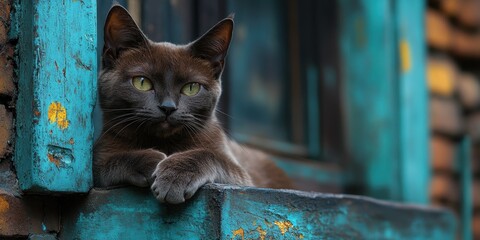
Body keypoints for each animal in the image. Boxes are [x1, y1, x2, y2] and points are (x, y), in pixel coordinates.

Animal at [92, 5, 290, 203]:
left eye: (191, 88)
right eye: (142, 82)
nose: (168, 107)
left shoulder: (241, 177)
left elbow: (210, 155)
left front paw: (174, 175)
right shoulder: (97, 158)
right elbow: (107, 164)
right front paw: (152, 162)